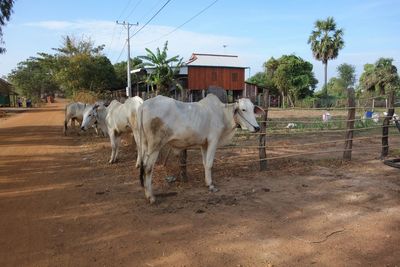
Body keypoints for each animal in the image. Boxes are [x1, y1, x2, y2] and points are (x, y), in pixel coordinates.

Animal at [136, 93, 264, 203]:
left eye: (253, 109)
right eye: (243, 109)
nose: (257, 128)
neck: (222, 114)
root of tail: (144, 105)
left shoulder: (204, 144)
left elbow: (205, 163)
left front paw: (207, 182)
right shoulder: (213, 140)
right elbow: (209, 163)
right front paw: (211, 186)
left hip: (145, 145)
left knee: (144, 166)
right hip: (155, 145)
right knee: (148, 168)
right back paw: (151, 196)